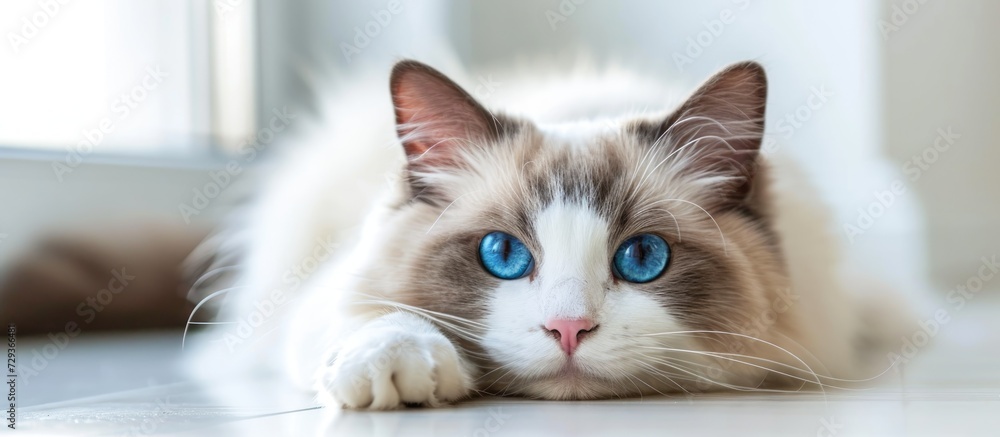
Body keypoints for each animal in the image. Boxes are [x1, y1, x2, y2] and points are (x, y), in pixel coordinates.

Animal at [188, 58, 916, 408]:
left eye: (643, 257)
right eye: (503, 254)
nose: (568, 329)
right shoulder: (324, 303)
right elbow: (383, 318)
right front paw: (399, 366)